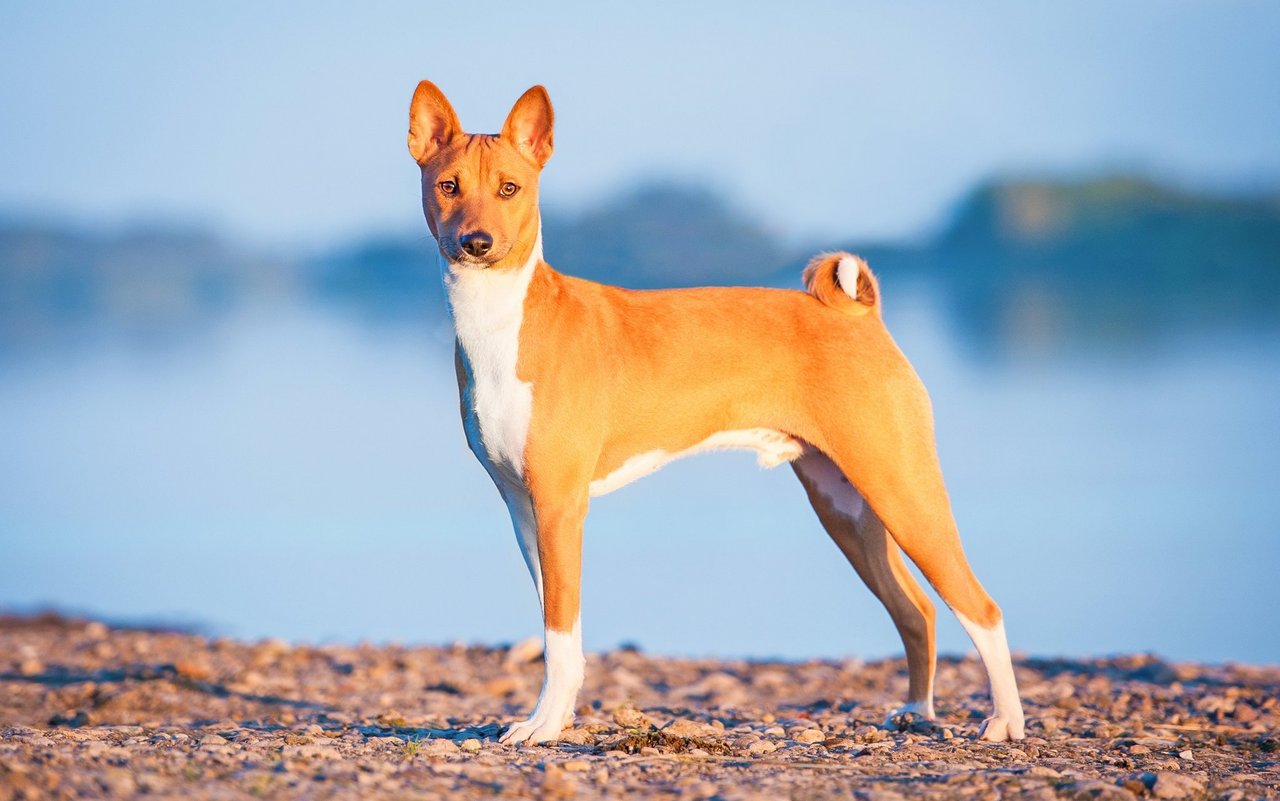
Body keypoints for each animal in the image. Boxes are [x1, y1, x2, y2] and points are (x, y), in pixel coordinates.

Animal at [404, 81, 1024, 742]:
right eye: (449, 186)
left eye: (509, 188)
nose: (476, 244)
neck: (504, 323)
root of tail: (858, 317)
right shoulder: (524, 508)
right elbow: (556, 631)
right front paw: (556, 717)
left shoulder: (560, 505)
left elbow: (561, 635)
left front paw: (543, 726)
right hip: (848, 506)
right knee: (918, 607)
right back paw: (916, 711)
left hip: (901, 487)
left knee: (980, 607)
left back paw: (1005, 723)